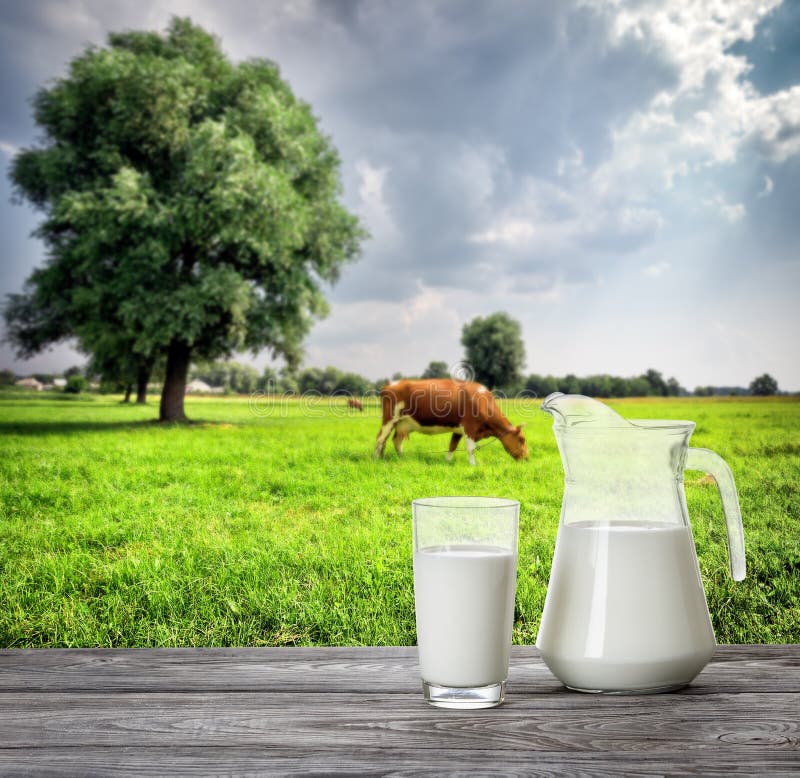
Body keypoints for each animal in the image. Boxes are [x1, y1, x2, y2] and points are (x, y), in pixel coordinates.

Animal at [376, 378, 528, 464]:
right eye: (522, 439)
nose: (527, 458)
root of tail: (389, 385)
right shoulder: (469, 427)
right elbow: (471, 449)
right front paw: (473, 465)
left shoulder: (459, 429)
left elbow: (452, 445)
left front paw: (448, 461)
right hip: (389, 419)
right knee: (380, 439)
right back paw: (376, 459)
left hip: (402, 424)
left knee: (396, 441)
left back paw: (401, 458)